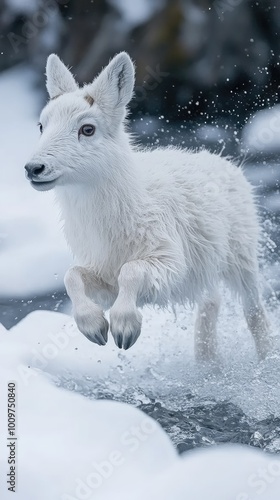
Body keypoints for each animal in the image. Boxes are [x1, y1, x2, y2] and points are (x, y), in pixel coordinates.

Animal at [25, 52, 270, 360]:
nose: (34, 168)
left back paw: (264, 360)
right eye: (41, 126)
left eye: (87, 129)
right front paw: (95, 330)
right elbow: (72, 277)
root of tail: (230, 166)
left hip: (242, 258)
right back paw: (207, 362)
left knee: (253, 312)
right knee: (210, 302)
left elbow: (132, 271)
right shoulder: (103, 276)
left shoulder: (169, 261)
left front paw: (124, 330)